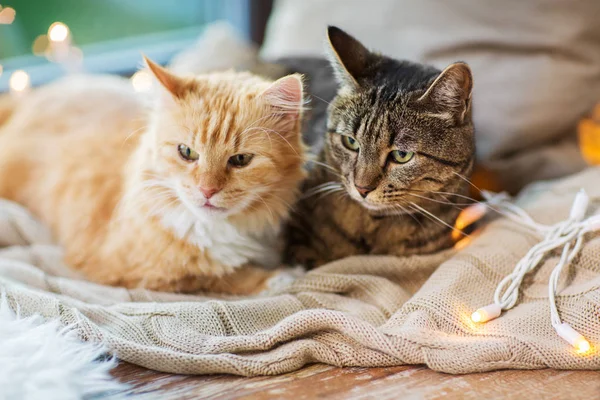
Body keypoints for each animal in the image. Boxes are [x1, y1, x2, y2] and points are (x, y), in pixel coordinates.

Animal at [0, 57, 308, 294]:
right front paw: (279, 277)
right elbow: (217, 275)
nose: (207, 191)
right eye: (187, 152)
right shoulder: (128, 269)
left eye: (241, 160)